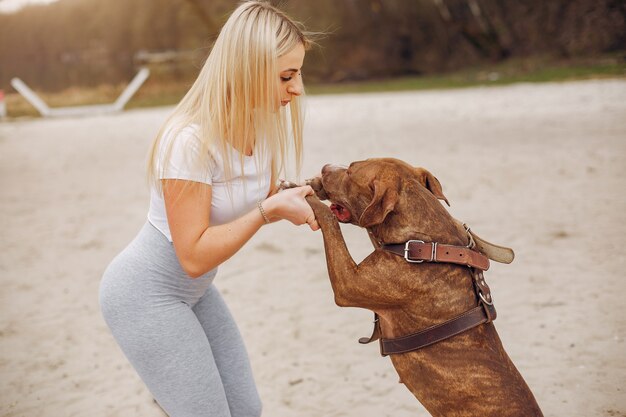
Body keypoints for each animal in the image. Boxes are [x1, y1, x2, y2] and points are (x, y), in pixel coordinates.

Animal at [302, 158, 540, 416]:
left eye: (351, 171)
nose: (325, 167)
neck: (423, 242)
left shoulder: (347, 284)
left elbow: (329, 221)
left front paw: (302, 196)